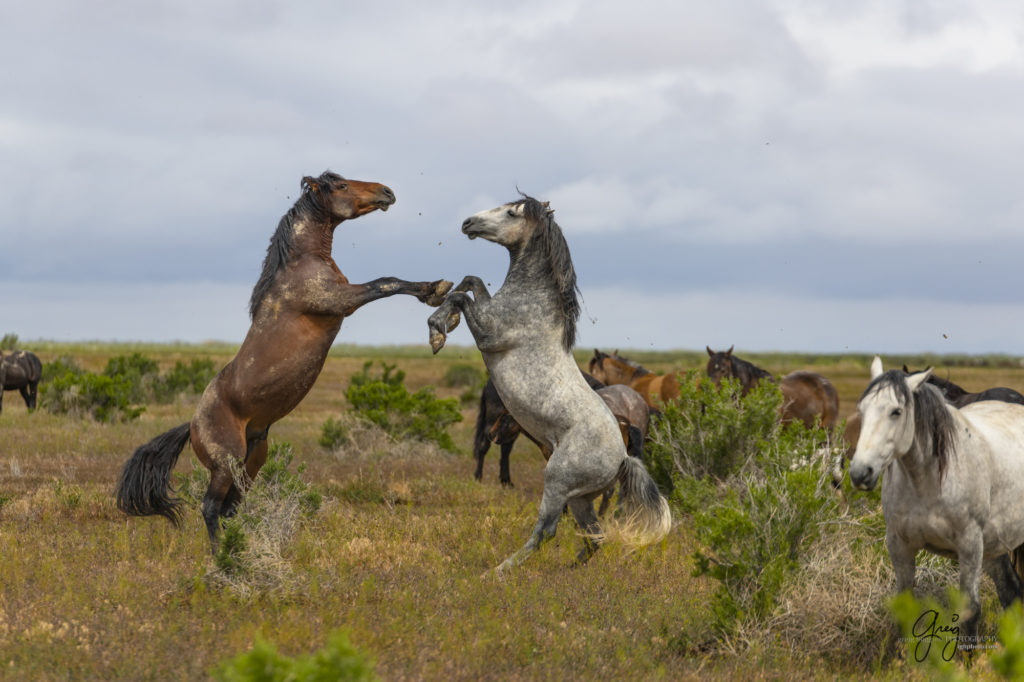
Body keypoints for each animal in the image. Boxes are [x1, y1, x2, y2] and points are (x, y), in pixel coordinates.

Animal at [114, 169, 450, 548]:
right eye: (342, 185)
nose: (387, 192)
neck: (304, 264)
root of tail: (192, 425)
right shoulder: (340, 300)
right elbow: (386, 282)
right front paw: (433, 289)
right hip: (225, 463)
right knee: (210, 507)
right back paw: (222, 556)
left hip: (253, 459)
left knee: (230, 507)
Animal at [425, 193, 671, 569]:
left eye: (511, 212)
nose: (468, 223)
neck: (534, 301)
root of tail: (621, 458)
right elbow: (471, 280)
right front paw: (440, 311)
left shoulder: (489, 334)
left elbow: (463, 297)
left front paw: (438, 328)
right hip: (580, 498)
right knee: (594, 536)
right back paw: (569, 570)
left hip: (556, 482)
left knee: (547, 530)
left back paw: (501, 570)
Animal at [847, 358, 1024, 647]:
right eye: (862, 410)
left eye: (896, 412)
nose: (861, 473)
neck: (927, 482)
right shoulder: (899, 545)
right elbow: (904, 606)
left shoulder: (970, 545)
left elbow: (970, 611)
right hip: (995, 547)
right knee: (1011, 591)